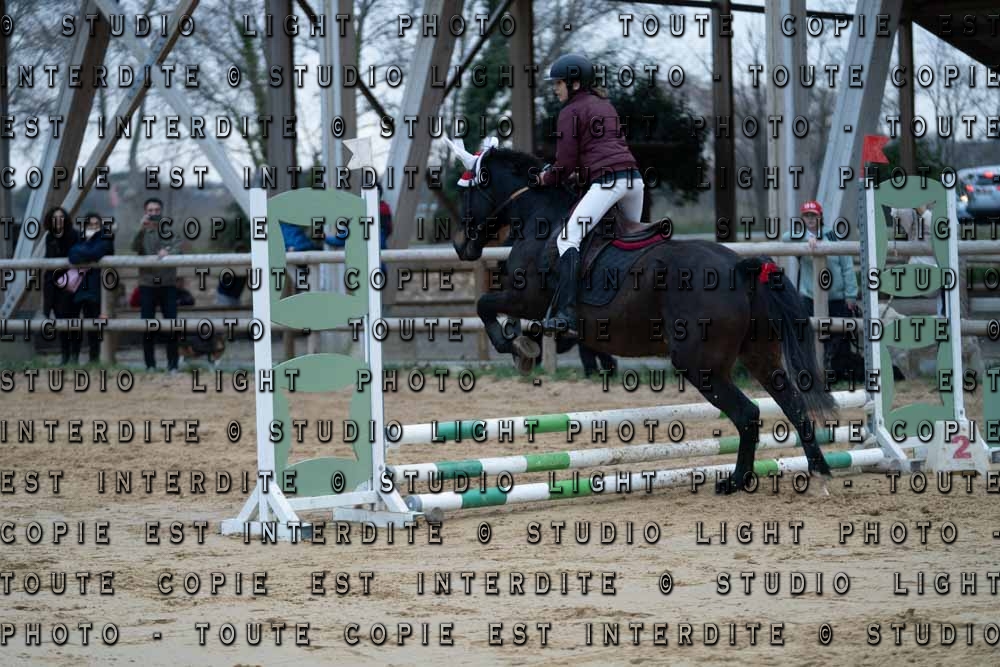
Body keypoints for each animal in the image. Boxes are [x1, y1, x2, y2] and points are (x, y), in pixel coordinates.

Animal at [444, 139, 839, 494]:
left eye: (467, 193)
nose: (460, 246)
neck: (541, 218)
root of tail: (742, 268)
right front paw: (522, 344)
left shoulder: (524, 298)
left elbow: (484, 305)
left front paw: (515, 349)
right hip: (759, 355)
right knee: (794, 405)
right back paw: (818, 471)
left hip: (701, 365)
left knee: (748, 414)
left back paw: (735, 481)